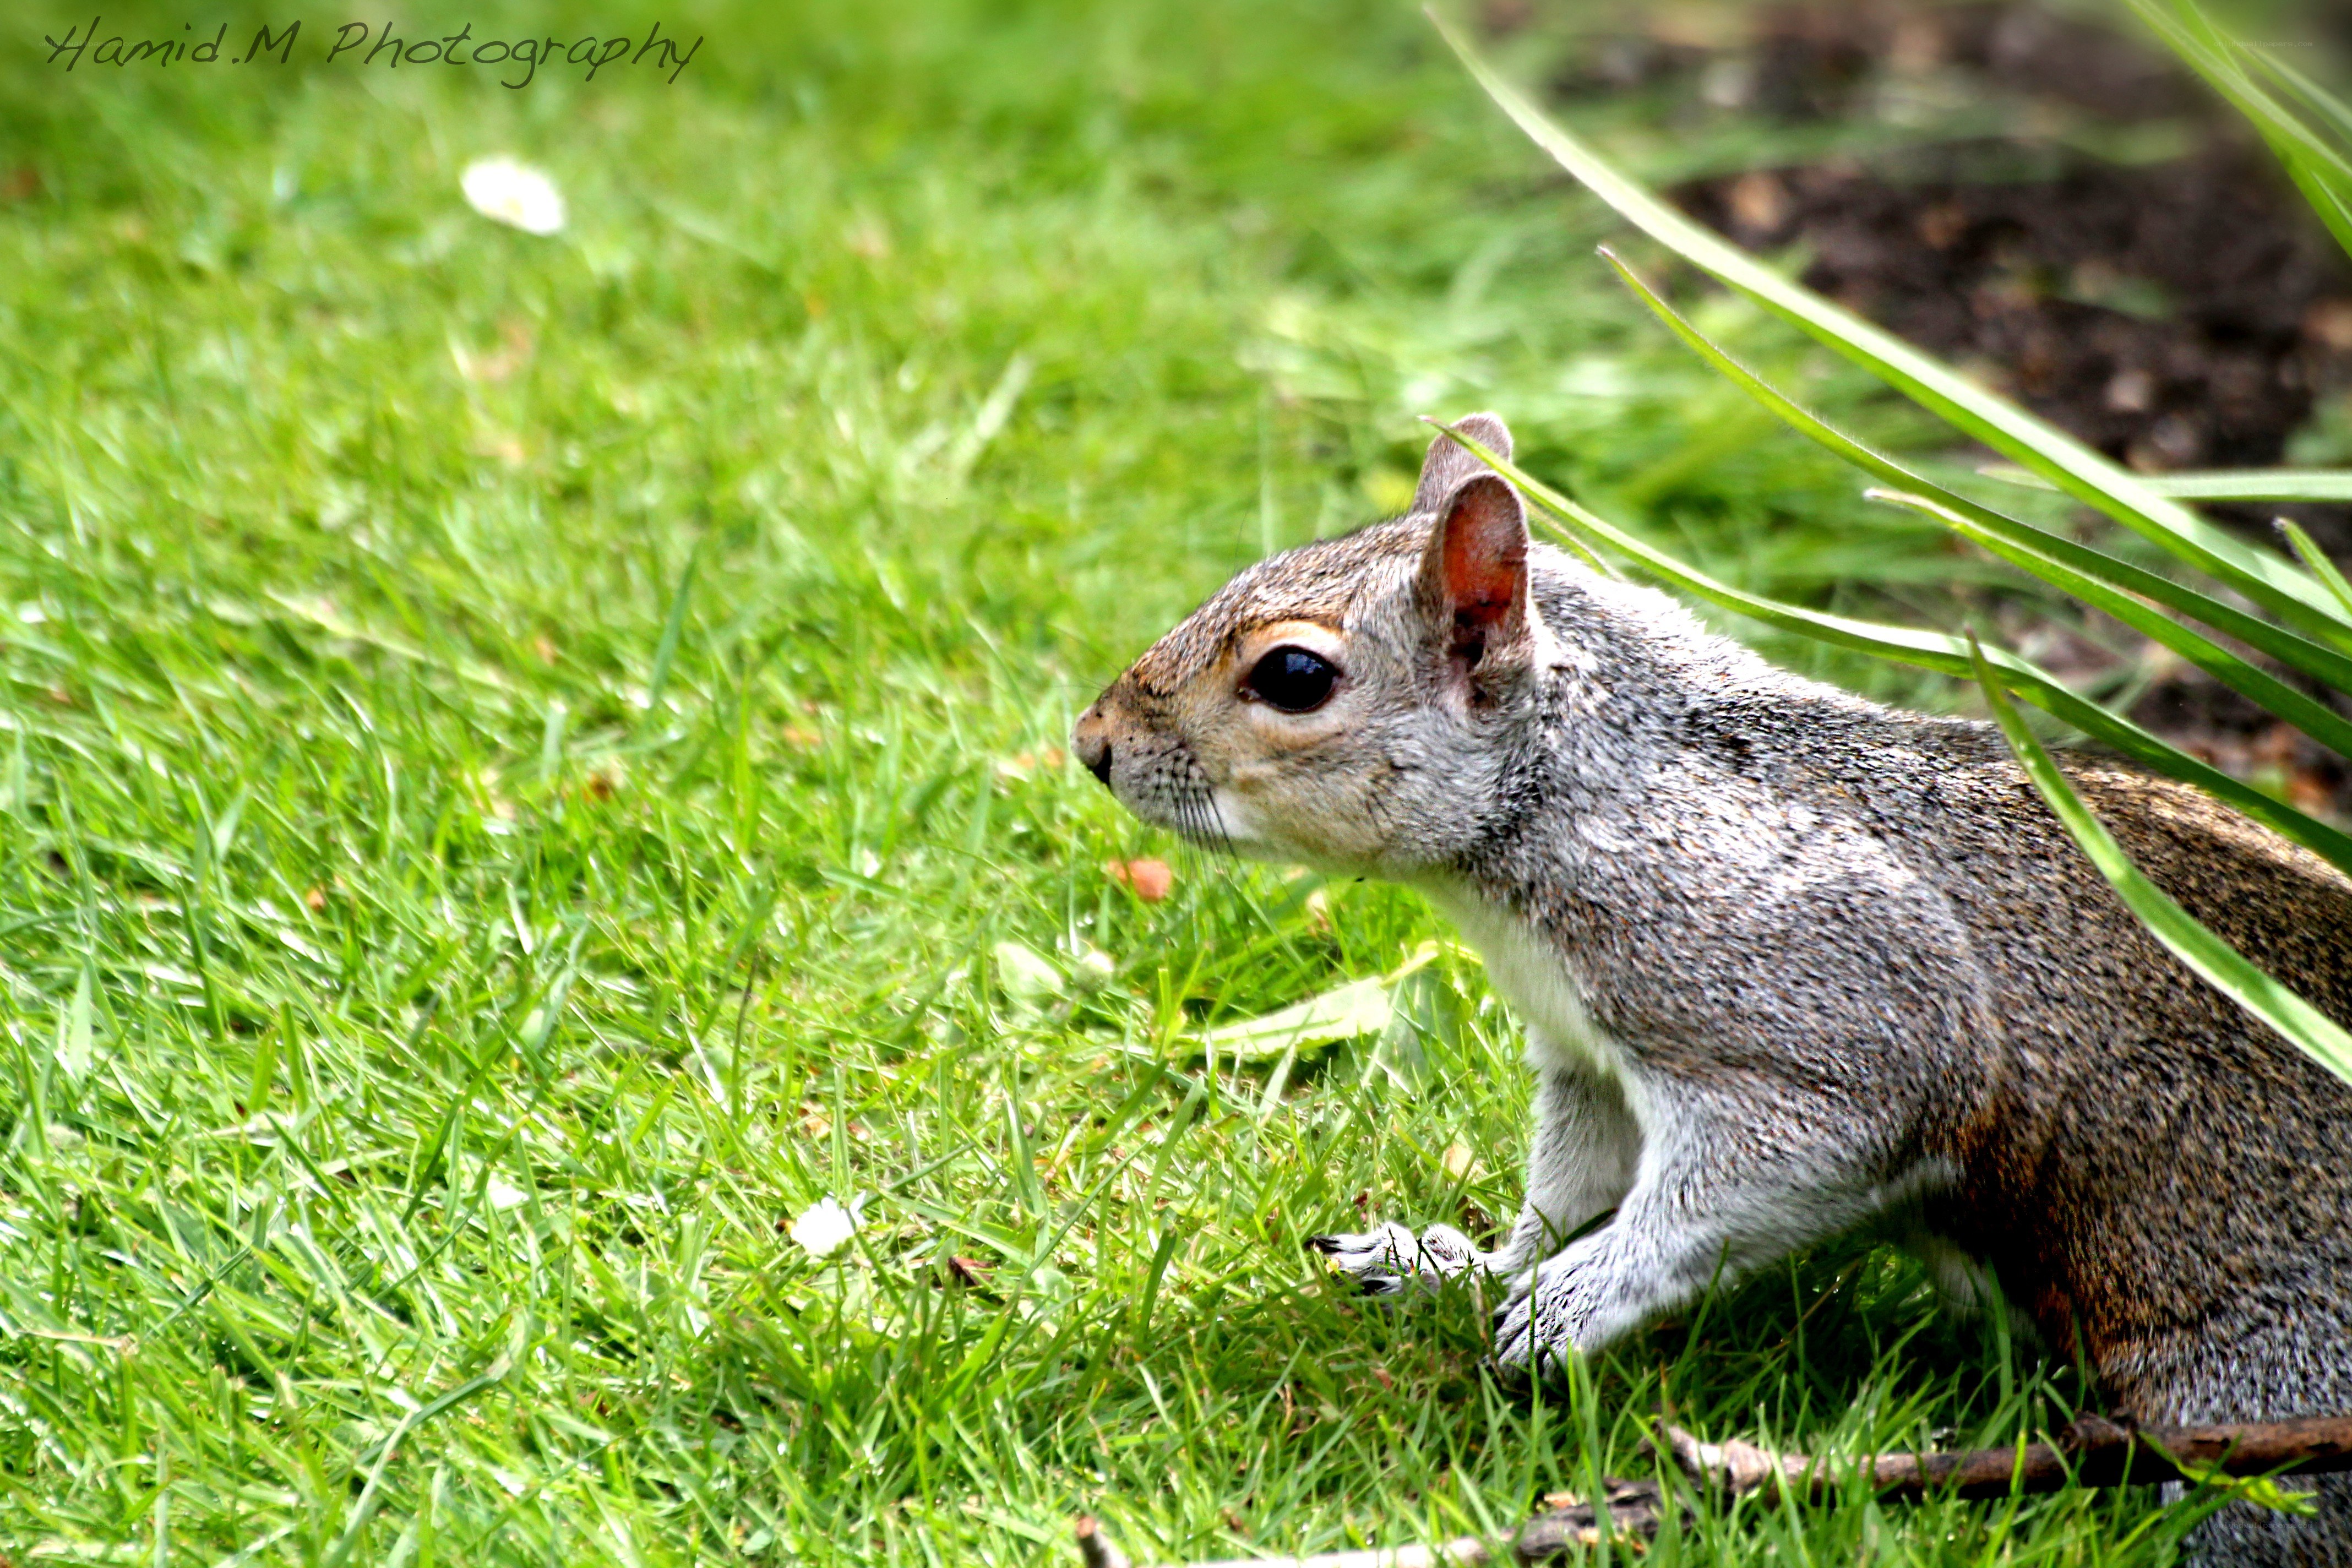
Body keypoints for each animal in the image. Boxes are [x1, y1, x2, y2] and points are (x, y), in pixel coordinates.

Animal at [1072, 415, 2352, 1566]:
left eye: (1293, 674)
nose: (1090, 741)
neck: (1573, 794)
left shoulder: (1813, 1009)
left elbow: (1753, 1176)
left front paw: (1571, 1300)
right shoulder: (1587, 1058)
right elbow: (1568, 1185)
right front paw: (1471, 1263)